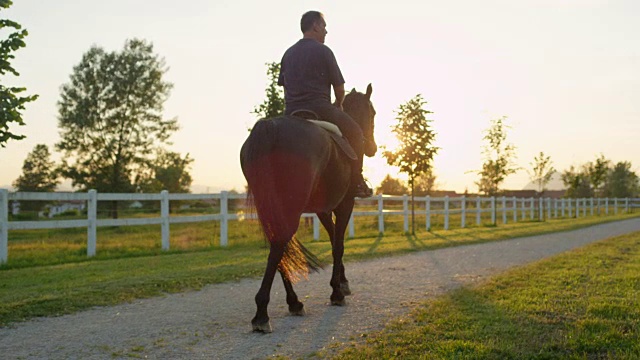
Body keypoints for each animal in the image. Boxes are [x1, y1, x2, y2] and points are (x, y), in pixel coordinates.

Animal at [241, 83, 380, 332]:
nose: (372, 147)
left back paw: (293, 302)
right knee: (279, 245)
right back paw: (263, 313)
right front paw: (337, 292)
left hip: (273, 206)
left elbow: (334, 238)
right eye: (372, 112)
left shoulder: (322, 209)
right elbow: (338, 245)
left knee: (279, 246)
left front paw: (342, 283)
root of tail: (269, 127)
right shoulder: (345, 204)